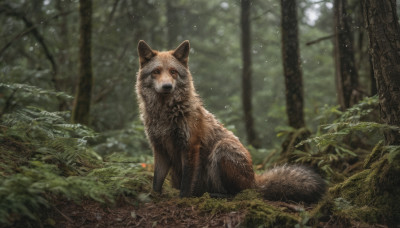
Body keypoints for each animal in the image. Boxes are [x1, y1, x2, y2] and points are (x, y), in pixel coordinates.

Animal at [136, 40, 326, 202]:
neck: (164, 115)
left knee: (239, 193)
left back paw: (216, 195)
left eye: (173, 72)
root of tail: (254, 180)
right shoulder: (159, 148)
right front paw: (152, 197)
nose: (167, 86)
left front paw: (183, 200)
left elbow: (186, 183)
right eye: (156, 72)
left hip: (223, 148)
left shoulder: (190, 146)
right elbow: (156, 181)